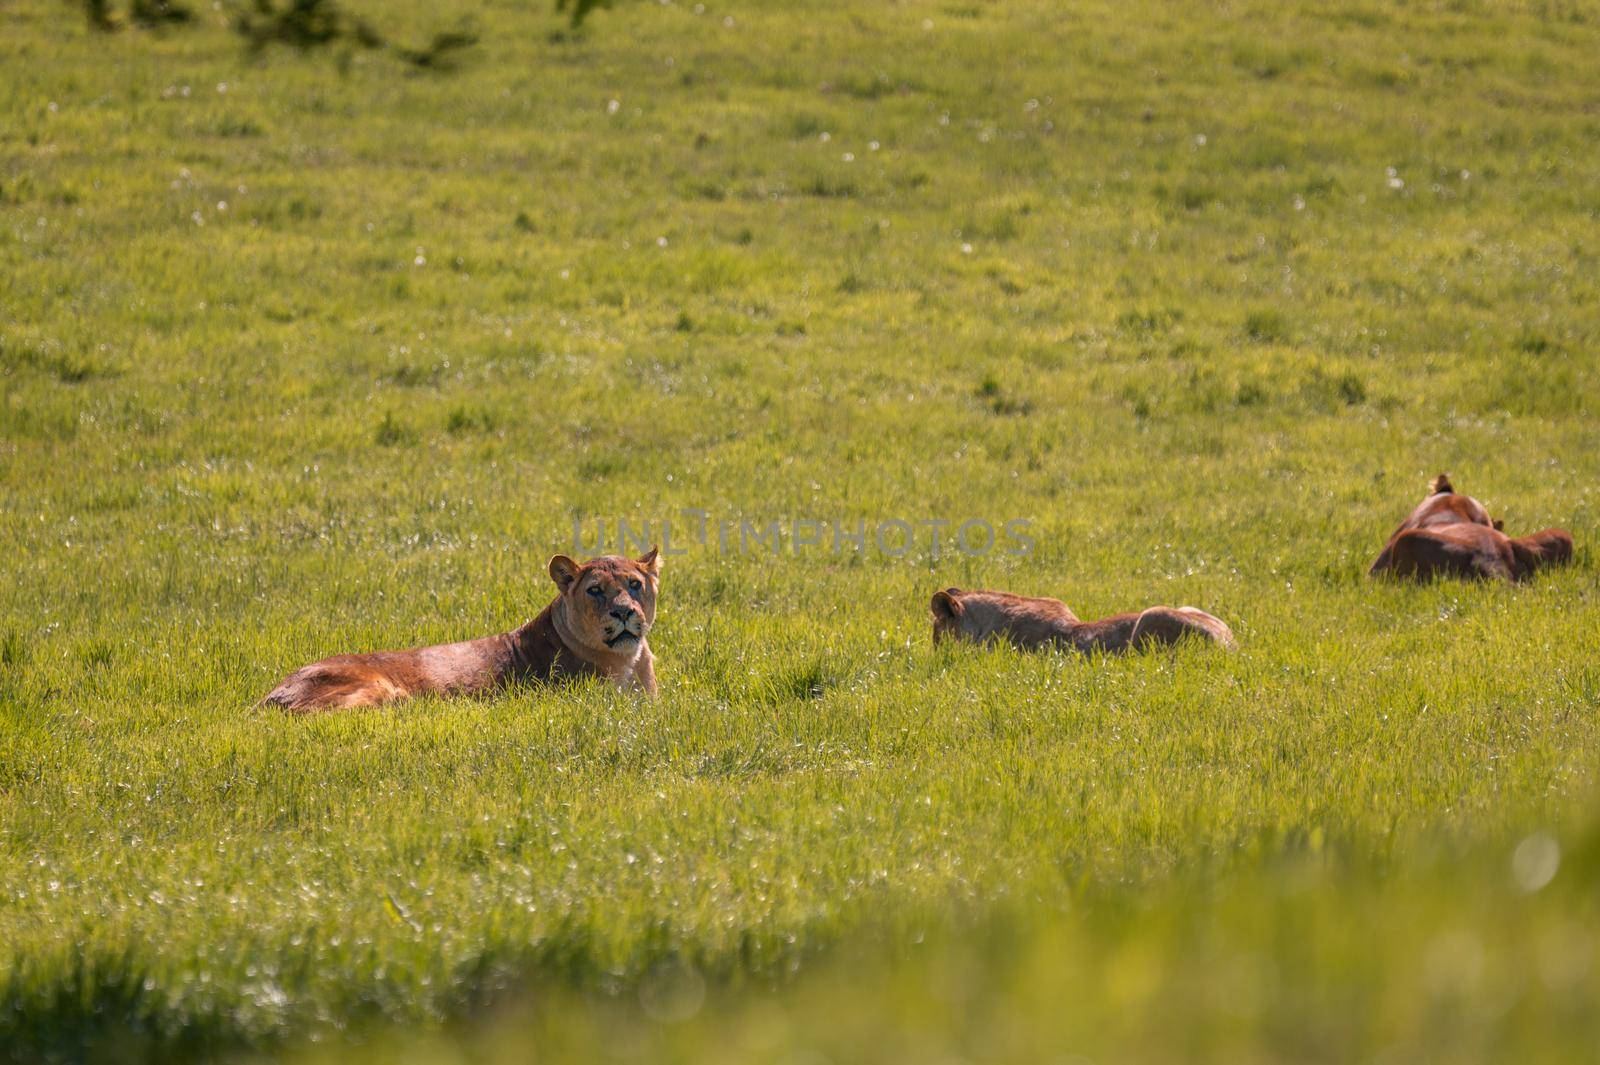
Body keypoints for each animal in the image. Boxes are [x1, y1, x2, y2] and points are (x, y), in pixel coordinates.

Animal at [259, 546, 659, 713]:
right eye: (595, 590)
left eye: (634, 584)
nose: (624, 612)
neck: (628, 660)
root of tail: (268, 698)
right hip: (381, 688)